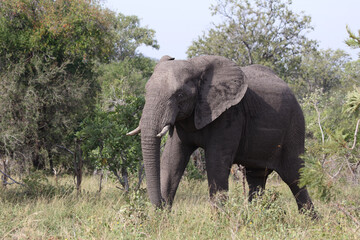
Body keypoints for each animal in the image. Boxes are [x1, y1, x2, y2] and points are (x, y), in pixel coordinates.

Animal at [127, 55, 316, 217]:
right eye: (146, 91)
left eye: (179, 95)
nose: (159, 205)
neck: (195, 66)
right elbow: (172, 160)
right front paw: (161, 221)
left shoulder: (230, 114)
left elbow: (216, 164)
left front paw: (220, 222)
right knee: (256, 178)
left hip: (295, 126)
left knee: (294, 177)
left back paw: (310, 221)